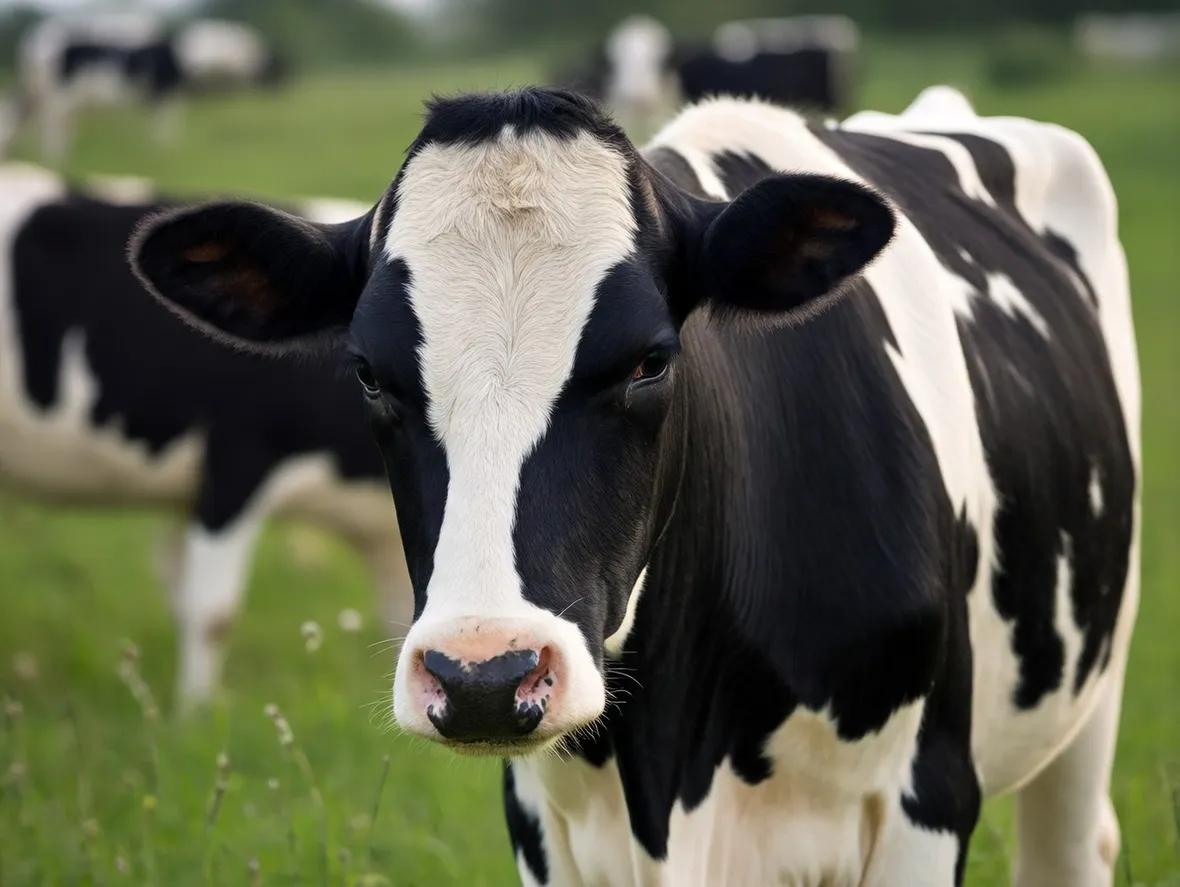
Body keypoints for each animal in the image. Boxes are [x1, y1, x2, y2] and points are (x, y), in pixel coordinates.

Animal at [1, 13, 286, 164]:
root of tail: (37, 38)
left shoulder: (163, 95)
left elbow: (161, 124)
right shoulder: (160, 92)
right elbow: (164, 125)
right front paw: (164, 152)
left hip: (52, 97)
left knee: (48, 125)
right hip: (58, 96)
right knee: (54, 126)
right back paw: (57, 159)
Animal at [128, 84, 1139, 885]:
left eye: (651, 360)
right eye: (369, 373)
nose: (484, 675)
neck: (673, 772)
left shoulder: (924, 799)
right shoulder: (547, 825)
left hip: (1092, 685)